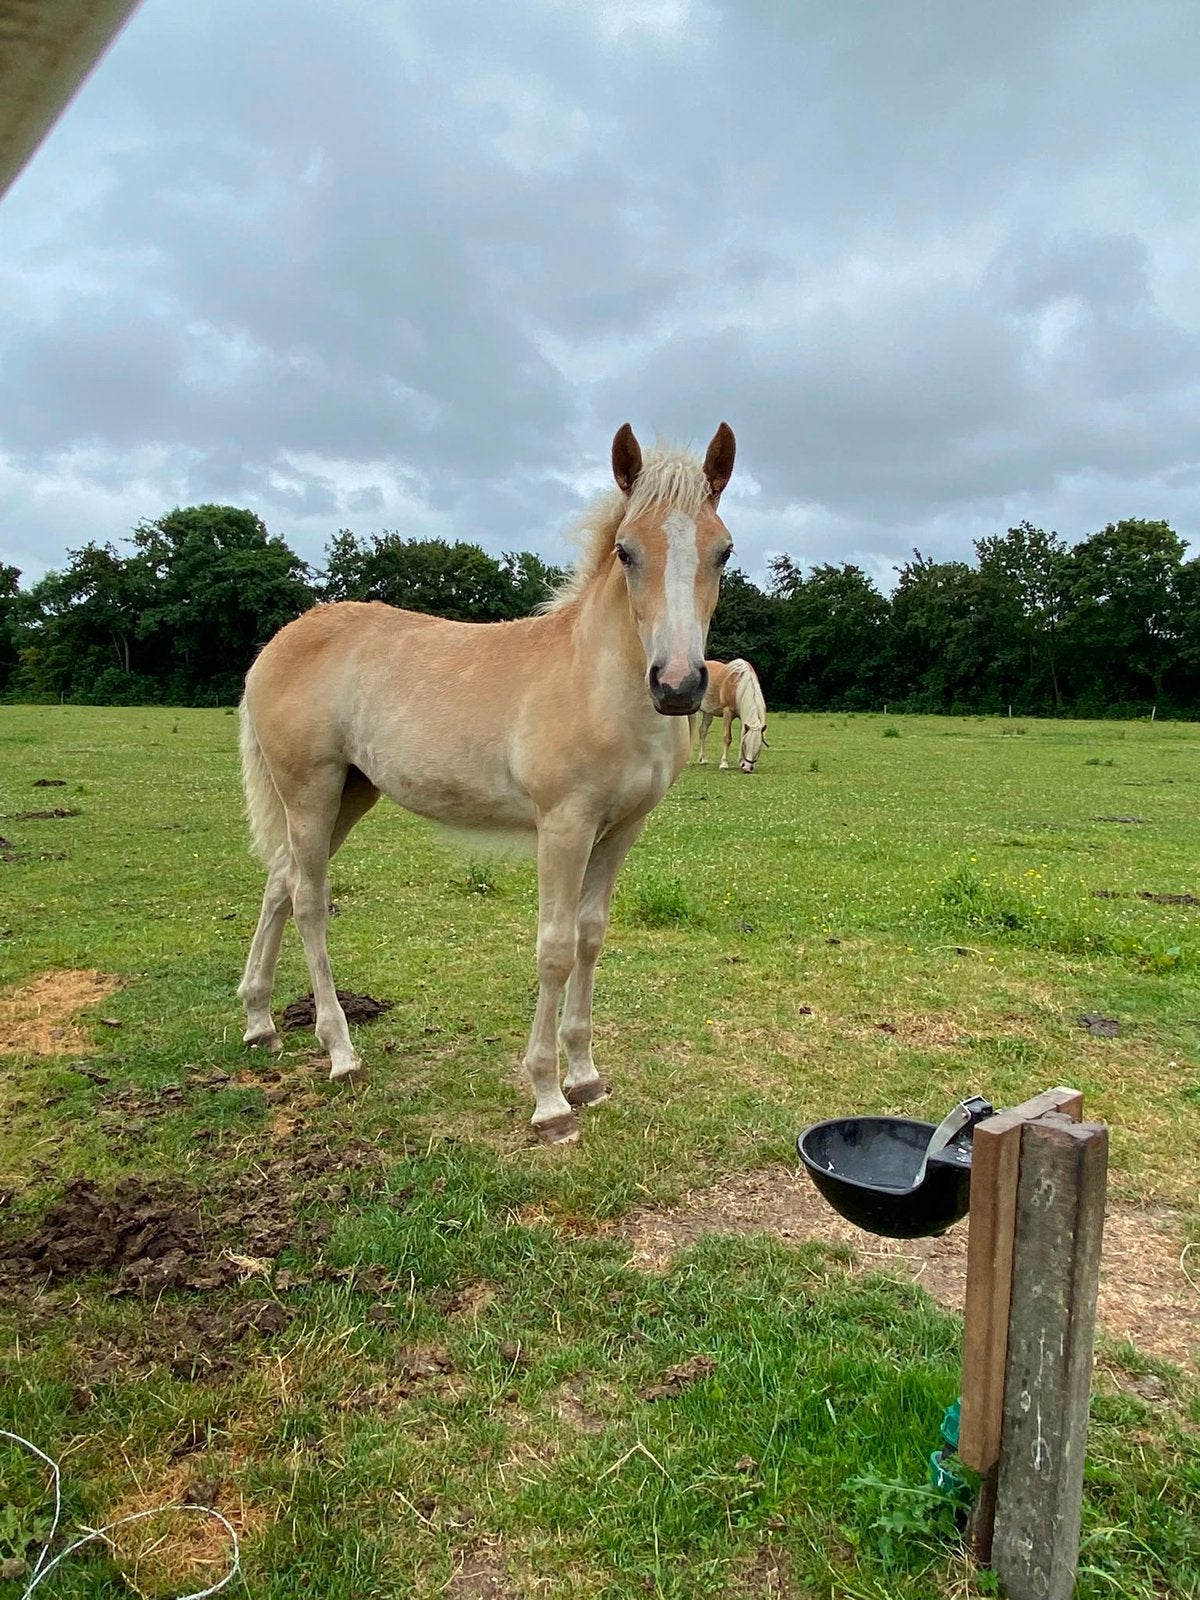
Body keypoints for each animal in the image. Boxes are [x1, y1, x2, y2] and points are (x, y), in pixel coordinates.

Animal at [236, 422, 737, 1144]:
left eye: (723, 551)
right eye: (626, 551)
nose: (677, 686)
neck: (596, 681)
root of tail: (278, 643)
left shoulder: (621, 830)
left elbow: (591, 937)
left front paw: (586, 1077)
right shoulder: (565, 826)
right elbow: (555, 948)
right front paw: (550, 1100)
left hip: (349, 794)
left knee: (279, 881)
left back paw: (259, 1023)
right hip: (310, 791)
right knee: (306, 900)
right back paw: (341, 1053)